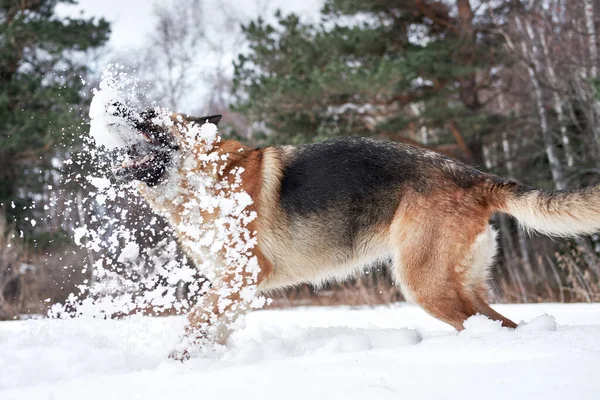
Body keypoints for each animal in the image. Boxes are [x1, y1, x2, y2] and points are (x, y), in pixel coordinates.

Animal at [105, 105, 600, 354]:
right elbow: (213, 325)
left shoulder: (243, 274)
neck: (204, 177)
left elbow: (194, 319)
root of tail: (475, 177)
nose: (116, 104)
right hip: (453, 284)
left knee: (495, 326)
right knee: (499, 321)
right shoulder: (234, 286)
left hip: (423, 283)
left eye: (151, 116)